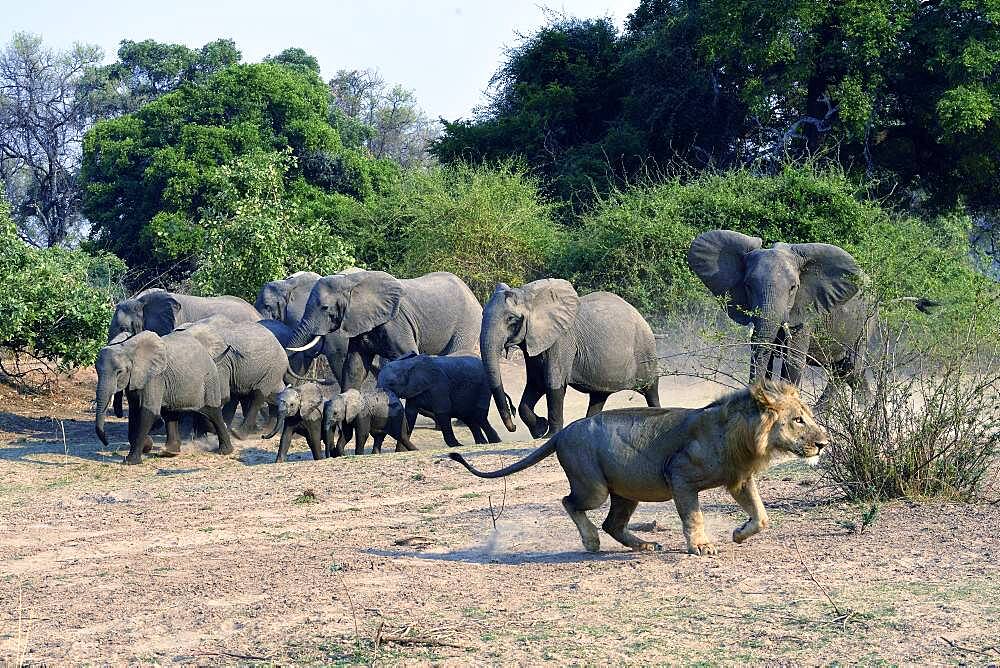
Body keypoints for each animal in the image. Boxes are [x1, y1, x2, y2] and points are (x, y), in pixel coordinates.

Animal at [94, 330, 232, 464]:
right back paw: (169, 452)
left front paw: (130, 461)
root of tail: (210, 356)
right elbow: (134, 412)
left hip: (209, 380)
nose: (106, 442)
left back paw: (225, 451)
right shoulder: (135, 378)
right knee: (170, 413)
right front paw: (146, 445)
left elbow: (147, 413)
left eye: (119, 372)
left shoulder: (155, 376)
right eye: (97, 371)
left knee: (213, 412)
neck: (128, 348)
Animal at [286, 268, 484, 388]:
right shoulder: (358, 322)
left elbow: (405, 358)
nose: (324, 381)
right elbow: (354, 367)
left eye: (325, 308)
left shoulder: (397, 323)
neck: (350, 282)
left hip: (468, 322)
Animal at [452, 378, 828, 556]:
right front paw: (701, 546)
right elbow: (693, 516)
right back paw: (591, 541)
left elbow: (762, 516)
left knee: (612, 524)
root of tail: (562, 433)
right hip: (594, 487)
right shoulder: (680, 475)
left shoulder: (740, 479)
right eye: (798, 420)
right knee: (570, 503)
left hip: (626, 492)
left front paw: (738, 533)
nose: (824, 443)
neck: (744, 437)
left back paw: (645, 545)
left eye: (807, 417)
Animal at [480, 278, 660, 438]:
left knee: (650, 389)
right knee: (598, 396)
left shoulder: (562, 340)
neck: (531, 297)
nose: (514, 426)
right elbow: (535, 383)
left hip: (645, 348)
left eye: (511, 318)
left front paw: (550, 434)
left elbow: (553, 382)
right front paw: (540, 429)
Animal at [688, 230, 936, 400]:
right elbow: (762, 355)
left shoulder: (806, 311)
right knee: (852, 374)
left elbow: (793, 362)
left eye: (793, 288)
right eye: (748, 286)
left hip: (866, 321)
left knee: (848, 368)